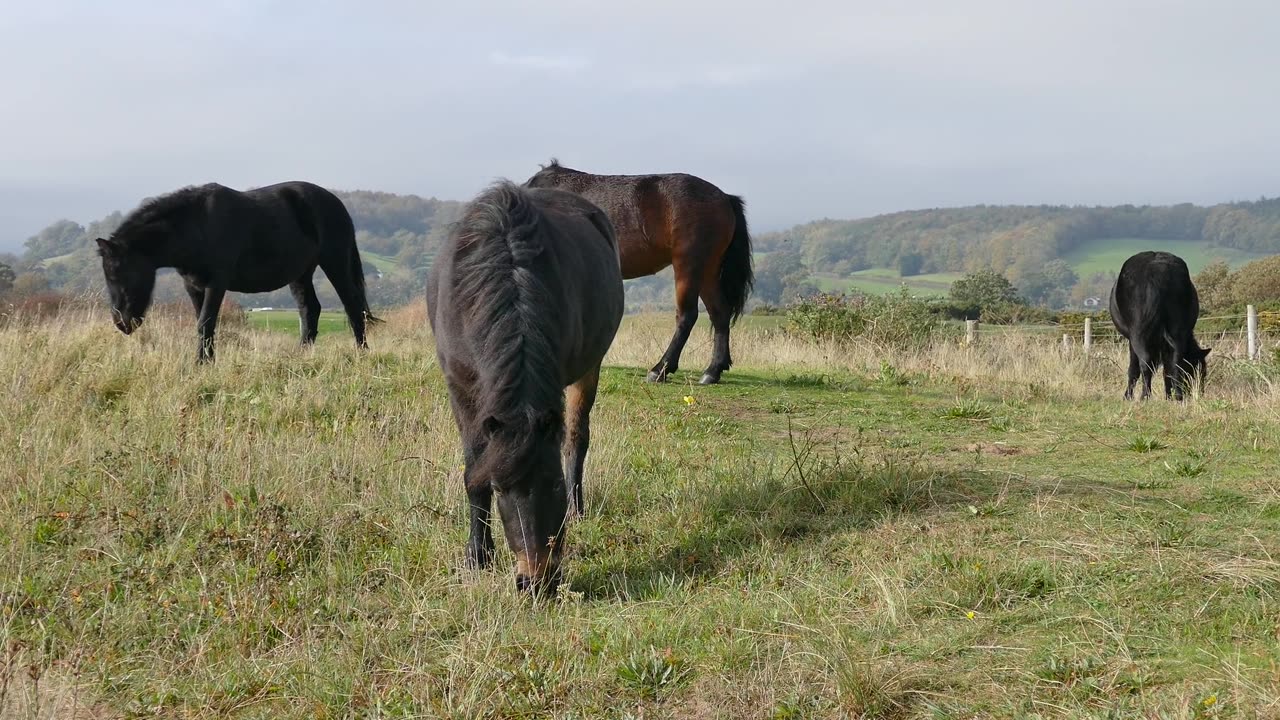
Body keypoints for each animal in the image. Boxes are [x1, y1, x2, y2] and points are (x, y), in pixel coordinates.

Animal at [95, 178, 378, 358]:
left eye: (119, 272)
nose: (121, 323)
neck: (197, 225)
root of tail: (337, 204)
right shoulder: (193, 286)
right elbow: (204, 324)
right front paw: (207, 363)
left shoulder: (216, 283)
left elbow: (205, 323)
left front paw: (201, 363)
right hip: (301, 274)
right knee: (310, 309)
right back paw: (302, 354)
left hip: (335, 262)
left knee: (353, 306)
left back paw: (362, 353)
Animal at [430, 180, 624, 594]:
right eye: (501, 489)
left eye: (553, 485)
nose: (536, 582)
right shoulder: (460, 390)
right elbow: (473, 472)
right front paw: (477, 556)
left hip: (589, 369)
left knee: (576, 437)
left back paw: (579, 508)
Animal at [524, 158, 752, 384]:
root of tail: (725, 198)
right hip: (707, 272)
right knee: (719, 313)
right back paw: (713, 371)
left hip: (689, 266)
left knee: (687, 316)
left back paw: (660, 369)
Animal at [1111, 249, 1208, 397]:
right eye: (1193, 369)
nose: (1198, 393)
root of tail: (1159, 269)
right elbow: (1167, 369)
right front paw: (1168, 395)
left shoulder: (1132, 340)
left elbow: (1134, 369)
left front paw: (1128, 396)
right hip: (1177, 328)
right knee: (1174, 362)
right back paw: (1178, 396)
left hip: (1139, 333)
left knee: (1145, 363)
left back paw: (1145, 396)